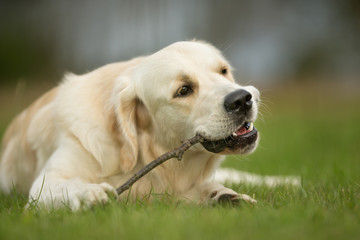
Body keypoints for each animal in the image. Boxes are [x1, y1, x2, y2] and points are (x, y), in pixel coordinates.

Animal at [0, 41, 258, 210]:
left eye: (223, 71)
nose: (242, 99)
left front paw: (226, 195)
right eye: (184, 90)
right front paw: (89, 193)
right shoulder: (47, 182)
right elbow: (66, 186)